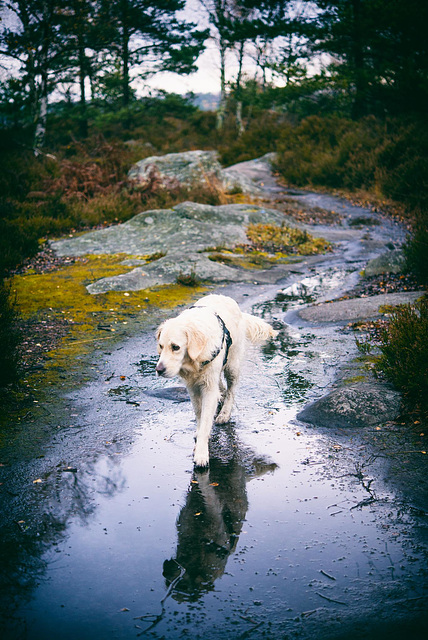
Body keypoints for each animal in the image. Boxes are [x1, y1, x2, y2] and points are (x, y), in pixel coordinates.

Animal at [155, 294, 276, 464]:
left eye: (175, 347)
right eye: (161, 346)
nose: (159, 370)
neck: (194, 360)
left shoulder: (208, 388)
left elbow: (206, 420)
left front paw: (201, 453)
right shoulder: (193, 388)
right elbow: (199, 415)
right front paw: (199, 434)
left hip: (232, 366)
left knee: (231, 390)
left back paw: (224, 413)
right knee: (222, 386)